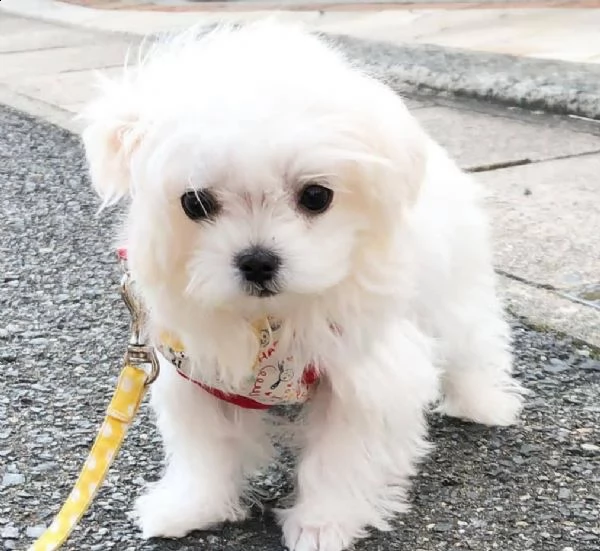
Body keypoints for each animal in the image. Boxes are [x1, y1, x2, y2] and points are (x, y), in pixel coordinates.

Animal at [83, 23, 524, 551]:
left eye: (316, 196)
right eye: (195, 203)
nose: (256, 261)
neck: (271, 320)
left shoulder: (362, 377)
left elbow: (341, 457)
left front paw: (323, 523)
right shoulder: (202, 374)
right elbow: (204, 450)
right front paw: (189, 506)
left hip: (455, 290)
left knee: (471, 342)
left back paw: (484, 402)